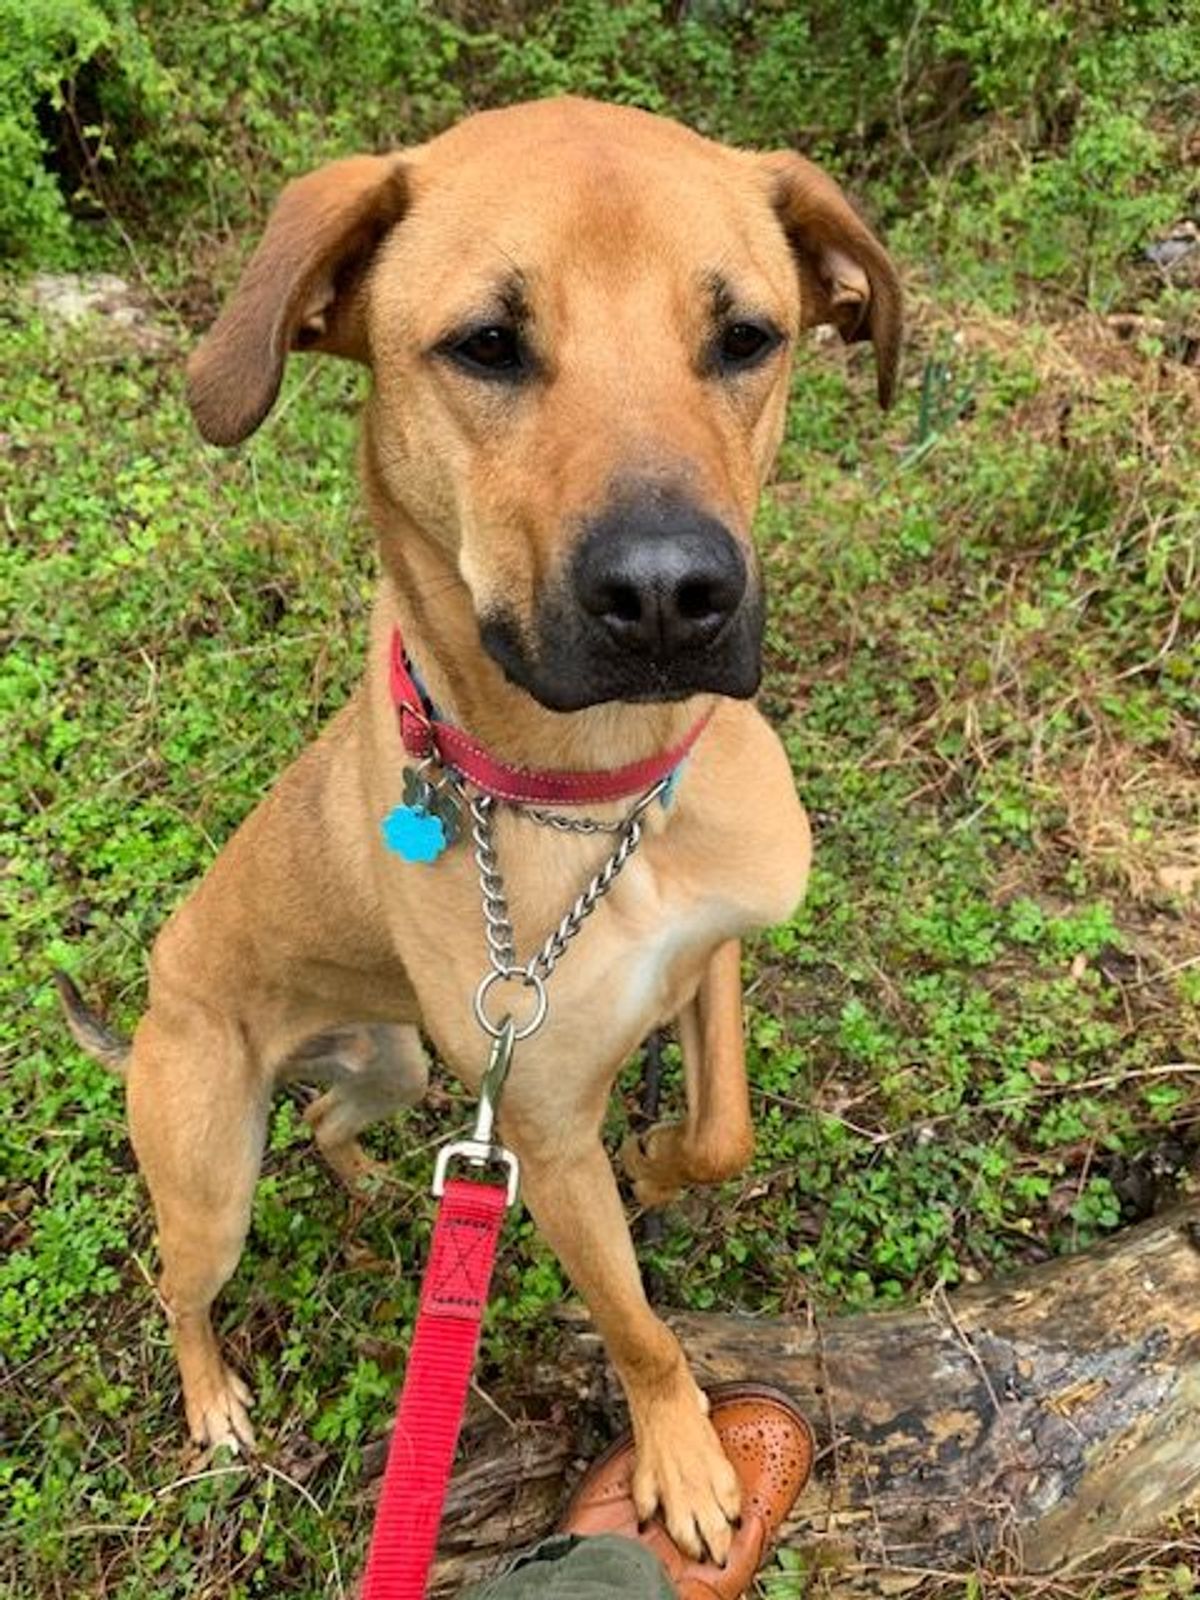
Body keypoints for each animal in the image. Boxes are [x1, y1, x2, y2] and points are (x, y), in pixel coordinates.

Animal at [61, 100, 896, 1561]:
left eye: (748, 335)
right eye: (489, 346)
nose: (672, 594)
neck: (602, 802)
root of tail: (156, 995)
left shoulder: (708, 957)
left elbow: (722, 1125)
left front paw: (664, 1160)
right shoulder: (545, 1144)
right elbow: (635, 1325)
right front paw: (684, 1458)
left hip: (390, 1064)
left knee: (332, 1122)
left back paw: (377, 1192)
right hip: (211, 1174)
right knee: (181, 1284)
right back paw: (214, 1401)